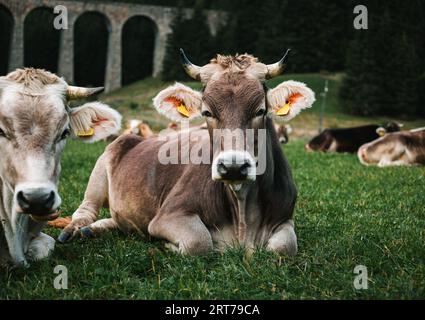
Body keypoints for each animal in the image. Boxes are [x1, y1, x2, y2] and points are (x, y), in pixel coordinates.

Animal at [57, 48, 314, 256]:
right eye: (207, 112)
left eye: (261, 110)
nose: (233, 167)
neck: (242, 218)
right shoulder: (168, 215)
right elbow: (199, 242)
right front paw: (167, 245)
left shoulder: (285, 217)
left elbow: (284, 248)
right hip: (100, 169)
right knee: (85, 210)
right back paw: (76, 230)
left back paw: (95, 229)